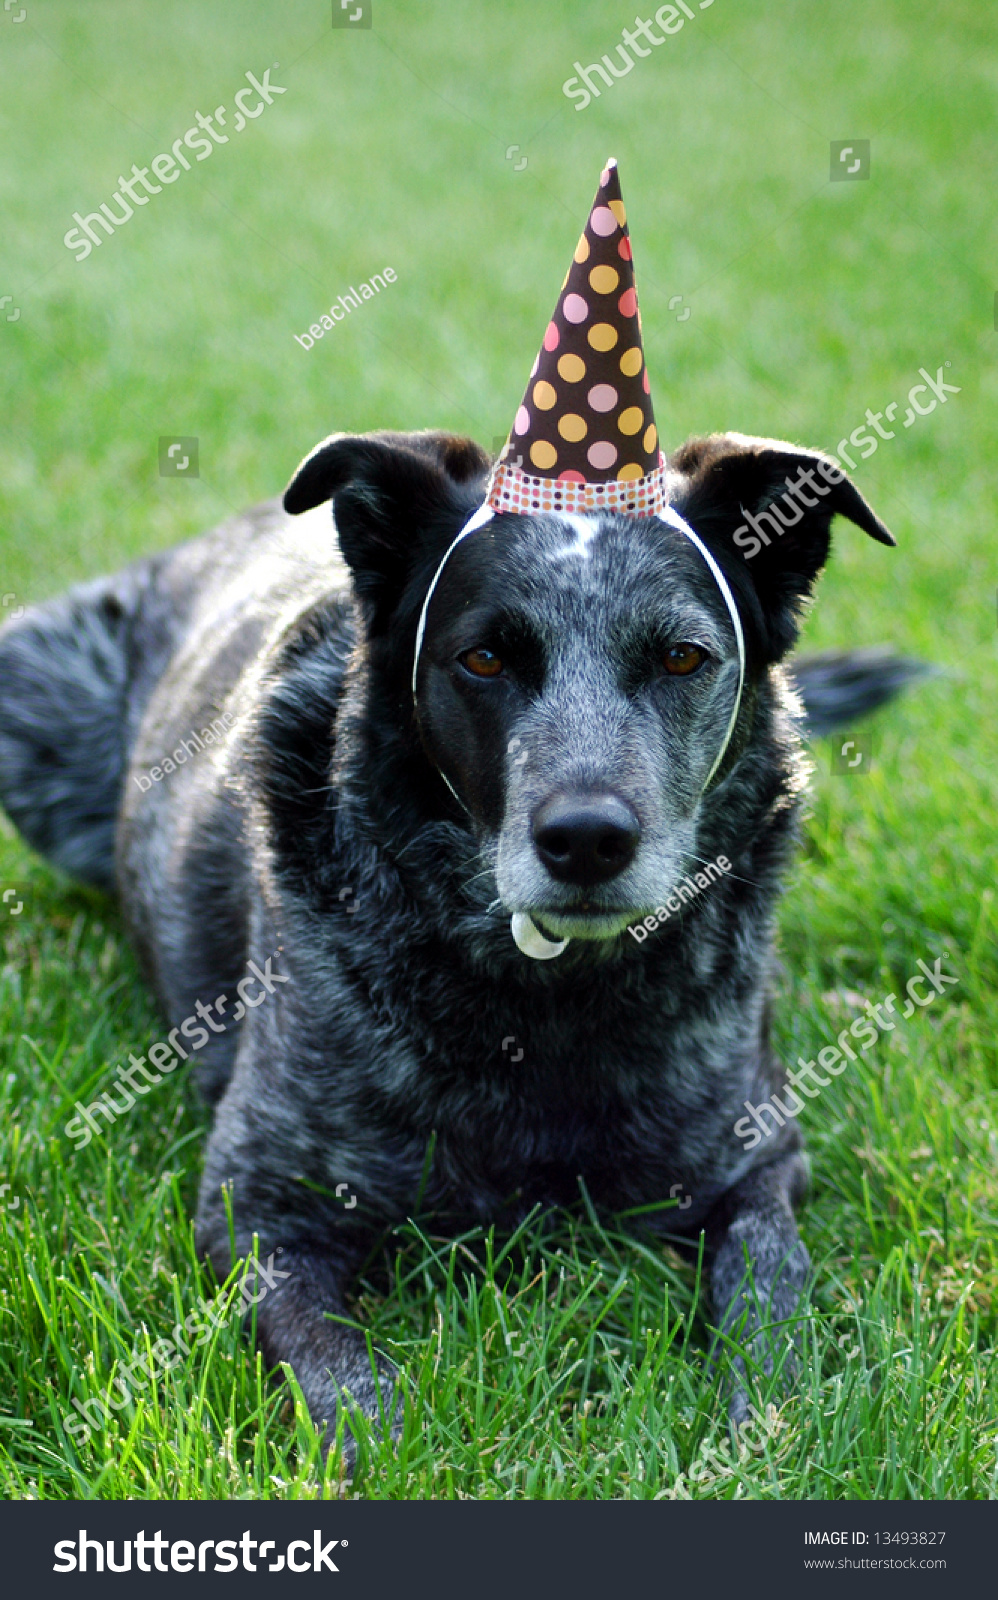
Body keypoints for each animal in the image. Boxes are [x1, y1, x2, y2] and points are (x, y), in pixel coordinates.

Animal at [0, 428, 914, 1452]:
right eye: (483, 659)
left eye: (682, 657)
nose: (587, 839)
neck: (541, 1001)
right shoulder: (263, 1207)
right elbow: (341, 1381)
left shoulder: (756, 1160)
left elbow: (769, 1296)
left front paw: (768, 1428)